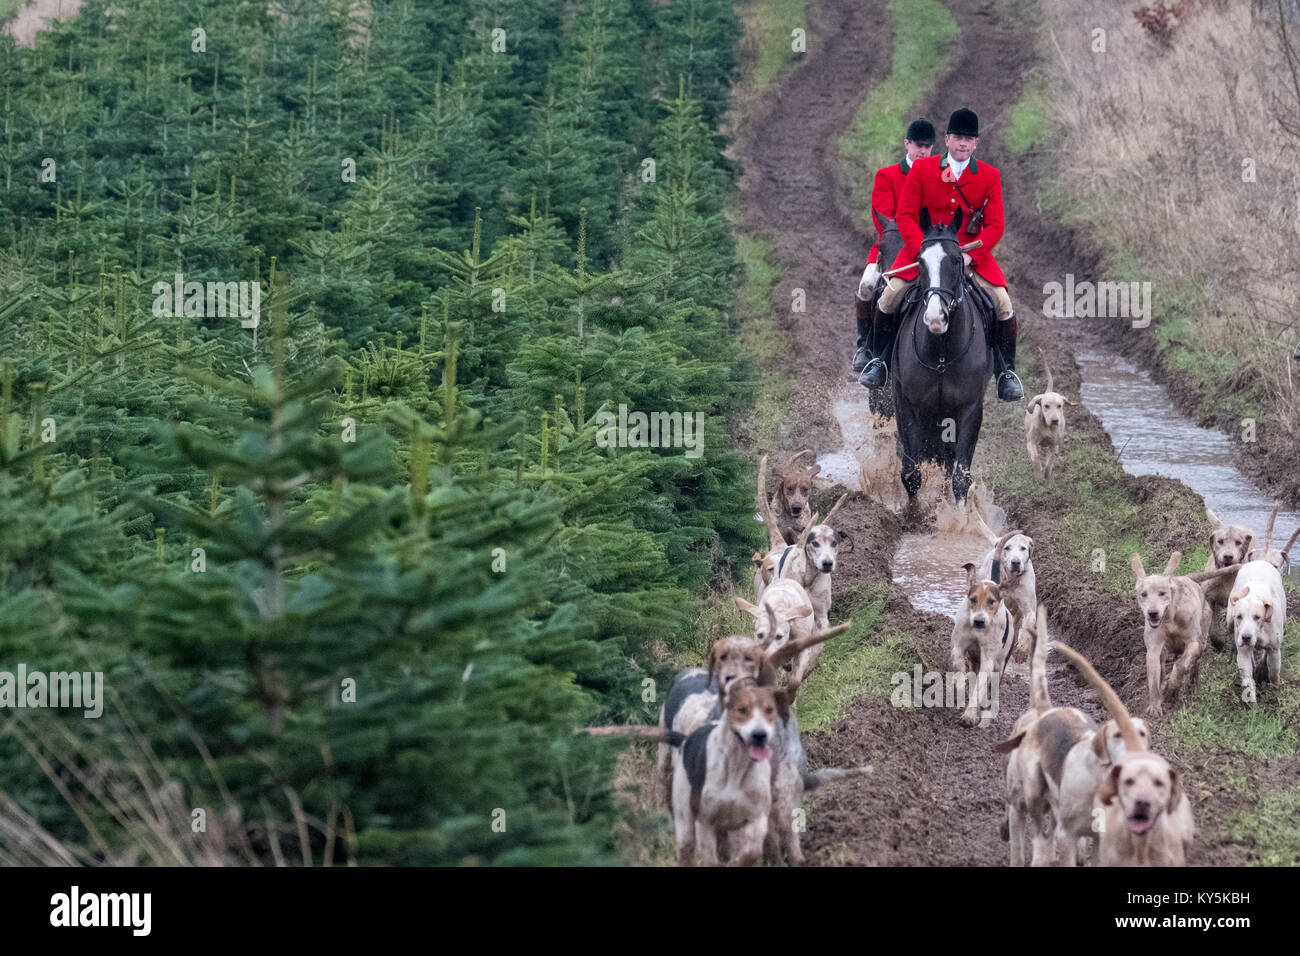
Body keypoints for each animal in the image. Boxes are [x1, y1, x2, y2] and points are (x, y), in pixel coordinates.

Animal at [894, 208, 993, 509]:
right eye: (919, 261)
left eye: (957, 260)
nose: (936, 318)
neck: (941, 351)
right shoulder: (907, 403)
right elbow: (911, 473)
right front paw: (912, 514)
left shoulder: (969, 408)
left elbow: (960, 477)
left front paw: (958, 518)